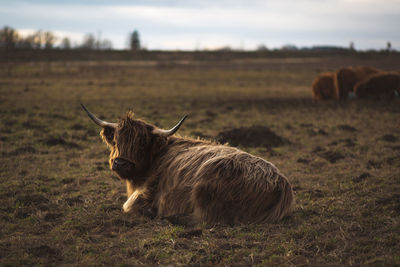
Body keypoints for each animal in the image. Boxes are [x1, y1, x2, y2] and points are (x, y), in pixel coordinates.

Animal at [81, 104, 294, 226]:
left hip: (206, 187)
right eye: (116, 141)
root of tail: (281, 183)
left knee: (208, 219)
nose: (120, 163)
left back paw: (169, 218)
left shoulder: (145, 193)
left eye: (141, 143)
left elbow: (127, 206)